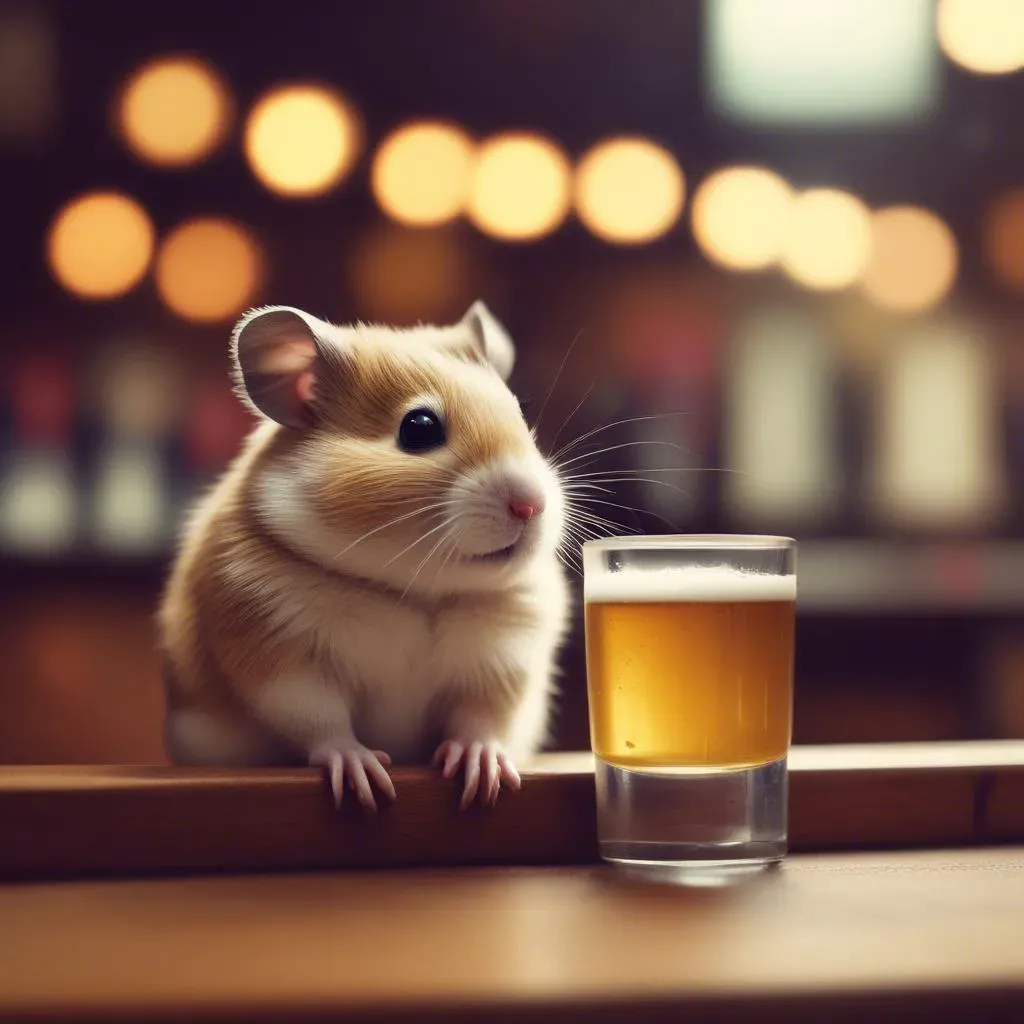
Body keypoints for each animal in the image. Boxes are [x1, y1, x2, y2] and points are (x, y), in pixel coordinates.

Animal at [158, 301, 570, 811]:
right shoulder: (280, 662)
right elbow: (322, 723)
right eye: (419, 429)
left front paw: (481, 775)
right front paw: (366, 779)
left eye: (519, 412)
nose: (532, 505)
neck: (414, 593)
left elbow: (481, 721)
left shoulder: (501, 664)